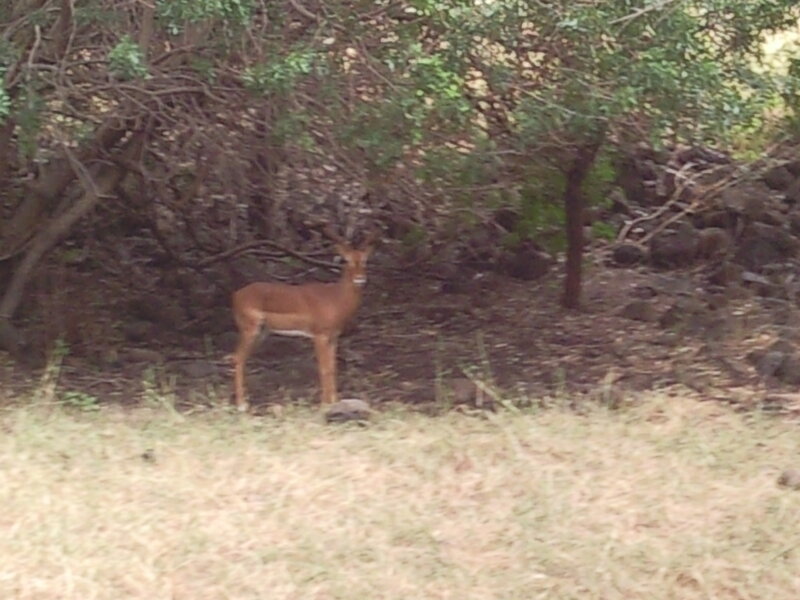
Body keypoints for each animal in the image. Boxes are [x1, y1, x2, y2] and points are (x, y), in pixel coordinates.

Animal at [231, 227, 377, 411]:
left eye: (365, 260)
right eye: (346, 260)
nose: (360, 279)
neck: (335, 298)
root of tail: (236, 295)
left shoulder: (333, 337)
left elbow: (333, 368)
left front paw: (335, 402)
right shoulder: (319, 336)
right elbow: (323, 368)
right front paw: (325, 405)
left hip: (262, 332)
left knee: (240, 358)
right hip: (250, 329)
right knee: (237, 358)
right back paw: (241, 405)